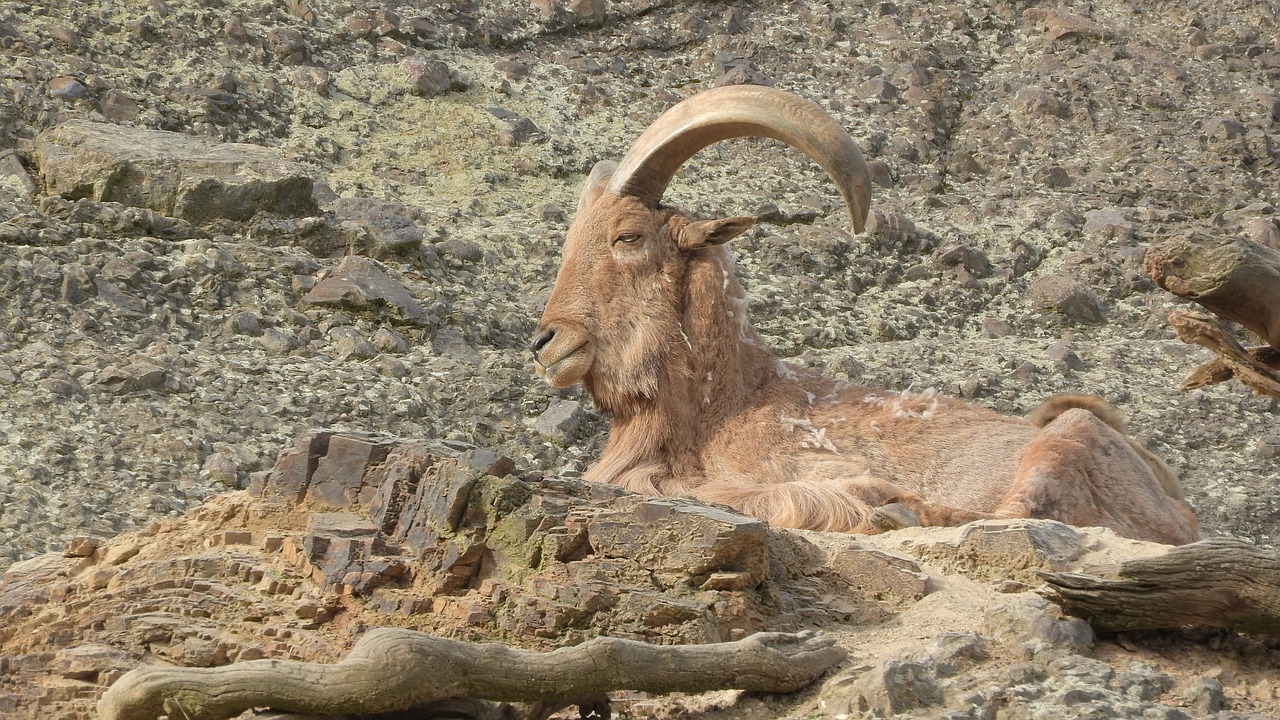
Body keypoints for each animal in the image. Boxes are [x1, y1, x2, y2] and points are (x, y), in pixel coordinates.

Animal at [527, 85, 1198, 543]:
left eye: (628, 236)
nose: (545, 342)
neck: (727, 405)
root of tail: (1175, 507)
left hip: (1065, 442)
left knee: (1014, 514)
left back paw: (890, 507)